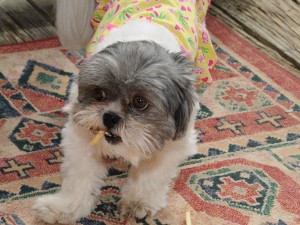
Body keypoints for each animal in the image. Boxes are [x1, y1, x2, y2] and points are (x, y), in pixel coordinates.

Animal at [32, 0, 216, 223]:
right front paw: (65, 208)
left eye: (140, 102)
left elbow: (151, 174)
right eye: (99, 93)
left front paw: (138, 201)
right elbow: (79, 176)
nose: (110, 117)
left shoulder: (175, 141)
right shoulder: (81, 135)